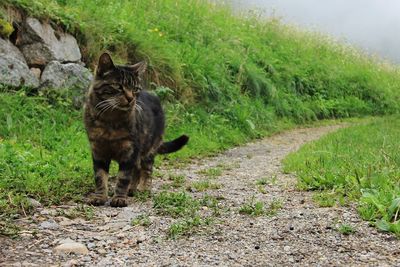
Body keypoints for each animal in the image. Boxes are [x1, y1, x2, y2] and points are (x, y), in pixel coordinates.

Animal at [83, 52, 189, 207]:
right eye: (118, 86)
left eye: (135, 89)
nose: (130, 98)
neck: (110, 121)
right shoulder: (98, 151)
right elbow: (100, 177)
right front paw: (100, 197)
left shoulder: (130, 150)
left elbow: (123, 178)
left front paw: (119, 198)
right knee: (137, 170)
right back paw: (132, 189)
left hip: (148, 149)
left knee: (146, 170)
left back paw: (143, 189)